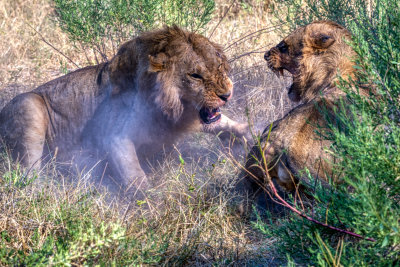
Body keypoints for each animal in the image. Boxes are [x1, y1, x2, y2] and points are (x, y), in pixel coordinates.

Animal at [0, 26, 247, 198]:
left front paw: (248, 134)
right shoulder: (114, 136)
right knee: (28, 176)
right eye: (195, 76)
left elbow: (222, 122)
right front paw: (152, 204)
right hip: (29, 104)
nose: (227, 94)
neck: (170, 104)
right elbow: (135, 175)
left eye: (219, 66)